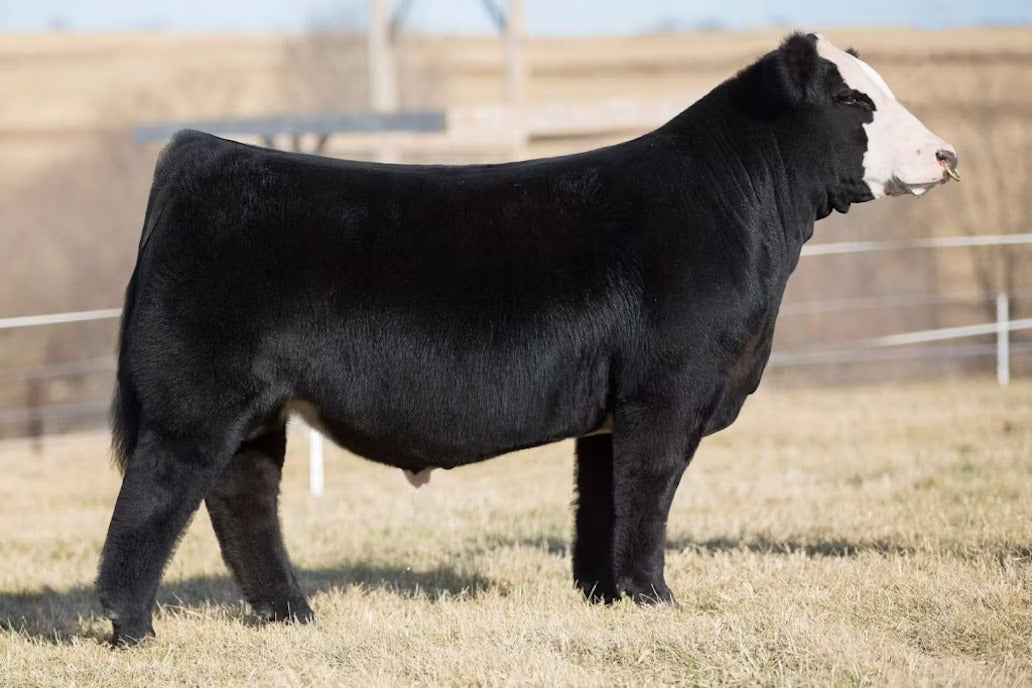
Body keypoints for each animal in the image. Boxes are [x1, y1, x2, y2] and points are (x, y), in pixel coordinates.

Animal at [98, 33, 958, 645]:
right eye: (854, 99)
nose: (947, 154)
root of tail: (203, 150)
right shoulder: (666, 395)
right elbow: (648, 497)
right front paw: (656, 599)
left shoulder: (614, 410)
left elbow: (602, 502)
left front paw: (608, 599)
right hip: (197, 405)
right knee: (155, 501)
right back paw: (130, 628)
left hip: (255, 412)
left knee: (242, 500)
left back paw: (291, 615)